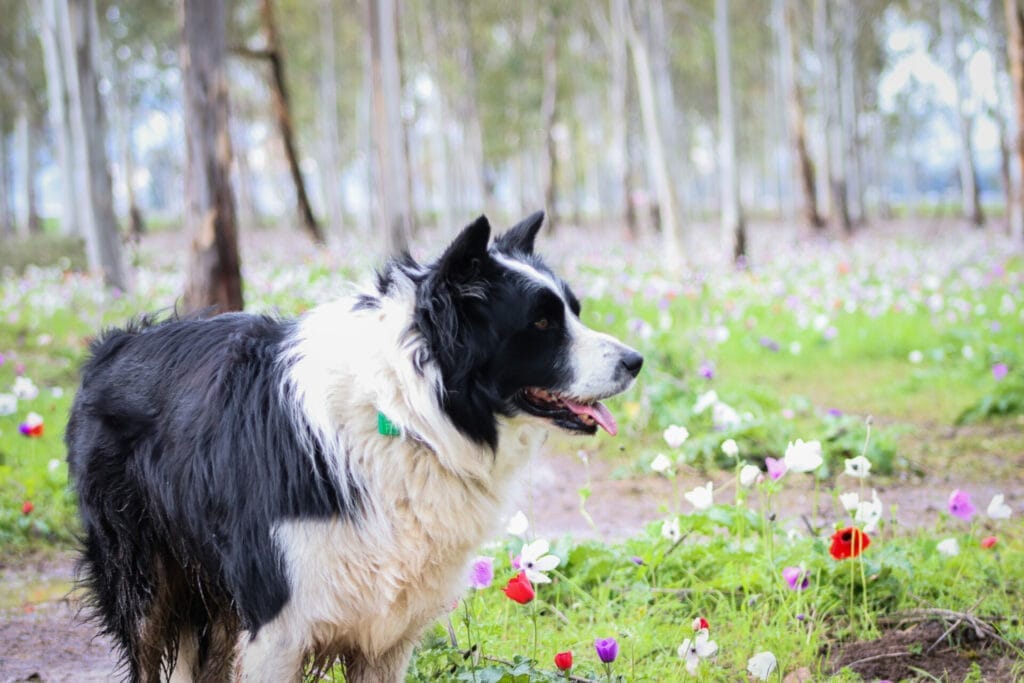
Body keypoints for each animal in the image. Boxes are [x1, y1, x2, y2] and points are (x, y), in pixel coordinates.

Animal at [66, 210, 638, 679]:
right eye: (541, 322)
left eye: (573, 311)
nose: (636, 361)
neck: (406, 413)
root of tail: (115, 344)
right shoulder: (278, 621)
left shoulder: (388, 627)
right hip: (144, 581)